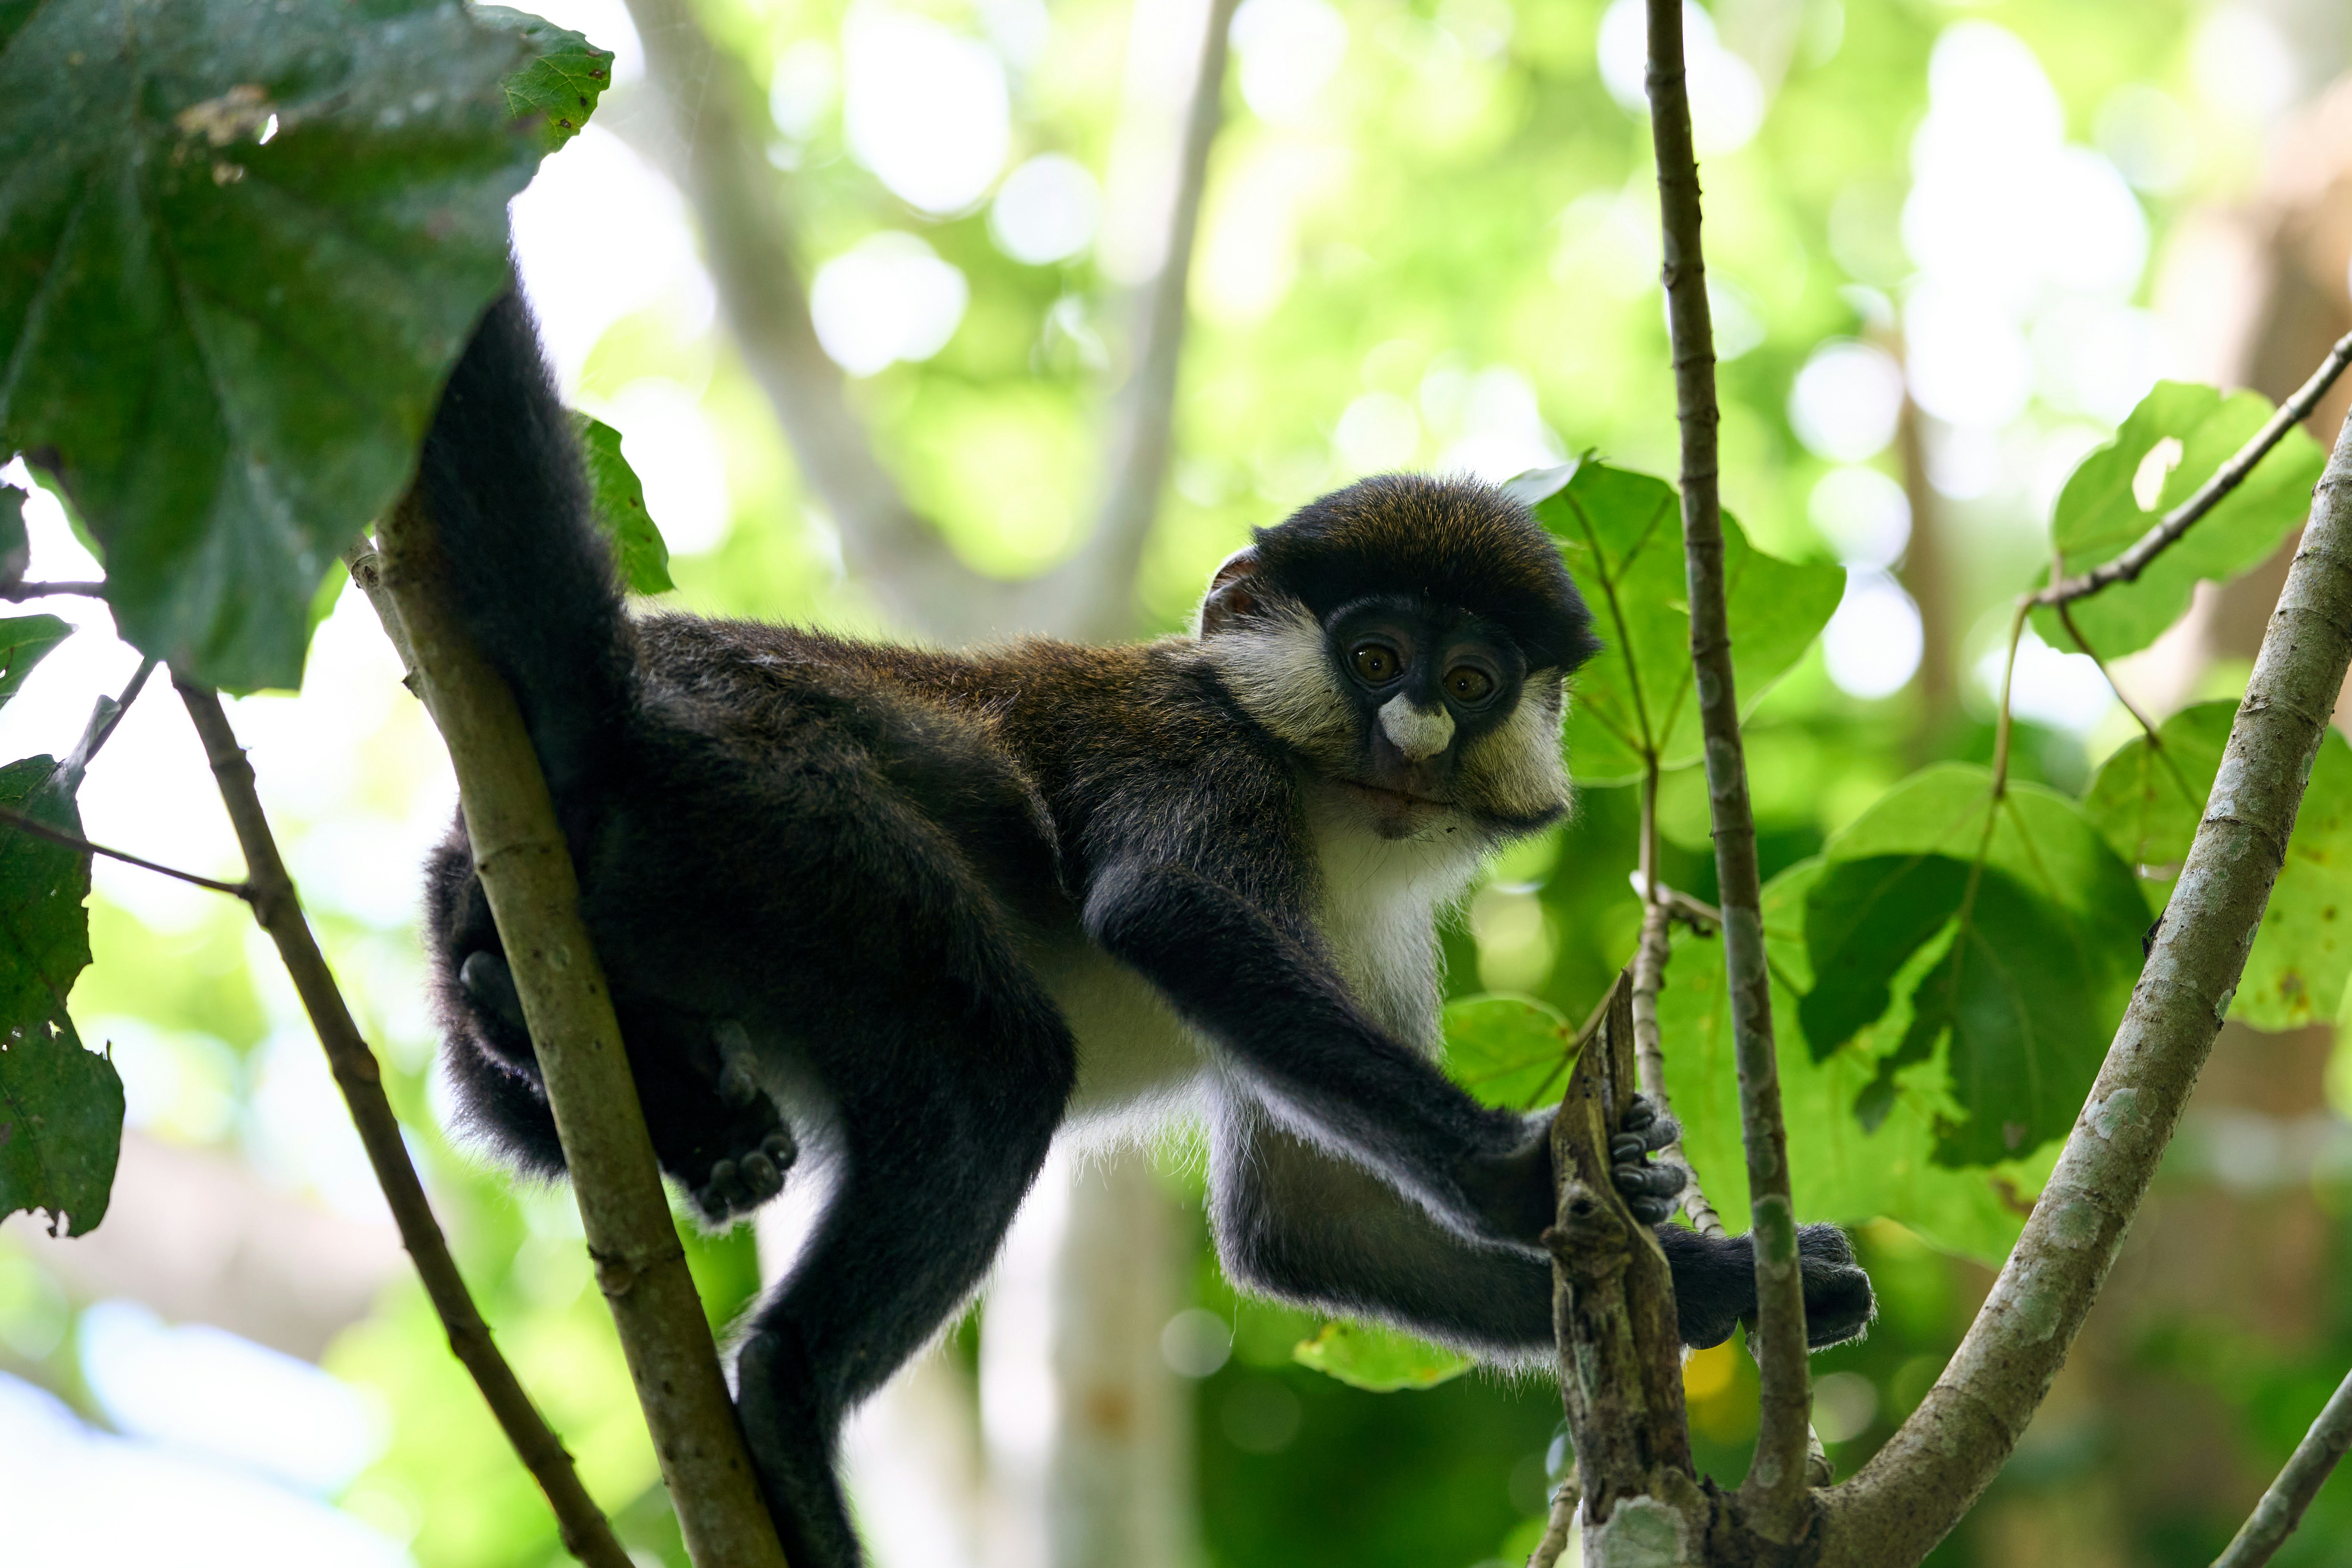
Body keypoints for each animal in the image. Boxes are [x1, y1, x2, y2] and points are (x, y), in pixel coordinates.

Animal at [415, 290, 1874, 1567]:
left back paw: (596, 1049)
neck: (1326, 808)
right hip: (773, 816)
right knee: (992, 1062)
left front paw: (1744, 1276)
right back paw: (785, 1392)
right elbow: (1165, 913)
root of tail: (621, 702)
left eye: (1470, 681)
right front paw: (1523, 1173)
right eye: (1375, 658)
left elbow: (1305, 1221)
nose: (1414, 736)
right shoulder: (1196, 760)